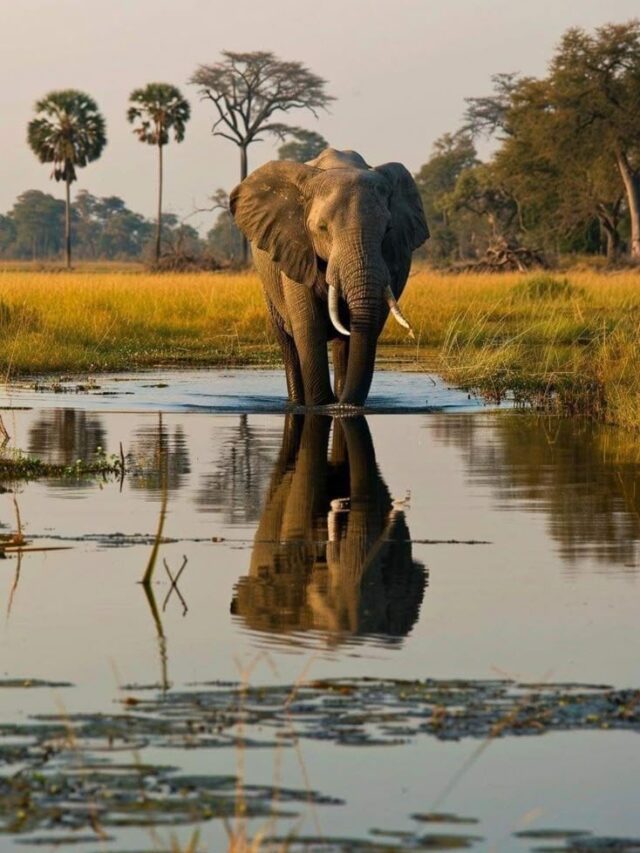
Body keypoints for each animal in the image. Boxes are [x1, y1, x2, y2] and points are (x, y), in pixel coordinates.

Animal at [230, 148, 429, 407]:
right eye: (322, 228)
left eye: (388, 229)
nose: (343, 404)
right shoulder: (295, 248)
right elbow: (309, 326)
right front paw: (322, 404)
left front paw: (340, 406)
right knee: (288, 343)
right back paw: (297, 402)